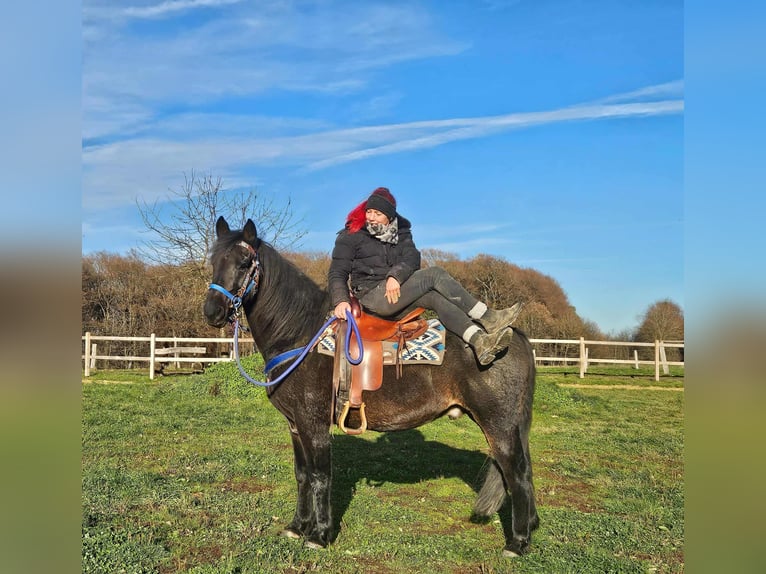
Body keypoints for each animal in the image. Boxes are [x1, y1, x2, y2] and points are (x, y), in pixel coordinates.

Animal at [203, 216, 539, 557]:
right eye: (214, 262)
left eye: (245, 263)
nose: (212, 311)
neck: (300, 335)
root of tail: (516, 338)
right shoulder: (295, 426)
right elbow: (302, 475)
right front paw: (297, 527)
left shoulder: (314, 424)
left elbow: (320, 476)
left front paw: (319, 535)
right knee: (523, 470)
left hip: (498, 424)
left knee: (517, 474)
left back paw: (517, 542)